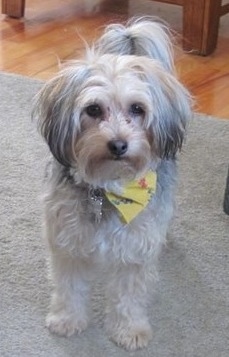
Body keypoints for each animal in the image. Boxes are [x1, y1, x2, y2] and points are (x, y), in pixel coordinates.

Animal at [33, 18, 192, 350]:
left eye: (137, 109)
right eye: (93, 109)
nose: (118, 144)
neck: (109, 188)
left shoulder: (135, 252)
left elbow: (128, 297)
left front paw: (129, 330)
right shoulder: (67, 242)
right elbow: (69, 287)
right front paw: (67, 319)